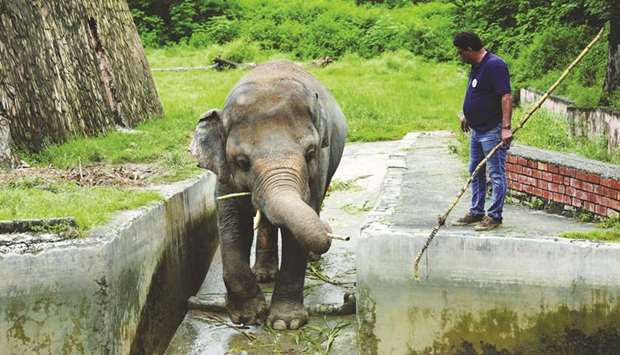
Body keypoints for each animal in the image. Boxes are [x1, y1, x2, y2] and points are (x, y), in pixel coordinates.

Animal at [189, 60, 346, 330]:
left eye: (310, 152)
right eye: (241, 162)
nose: (330, 232)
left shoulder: (318, 170)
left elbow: (297, 229)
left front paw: (285, 324)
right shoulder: (224, 174)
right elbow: (233, 222)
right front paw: (248, 316)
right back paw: (264, 274)